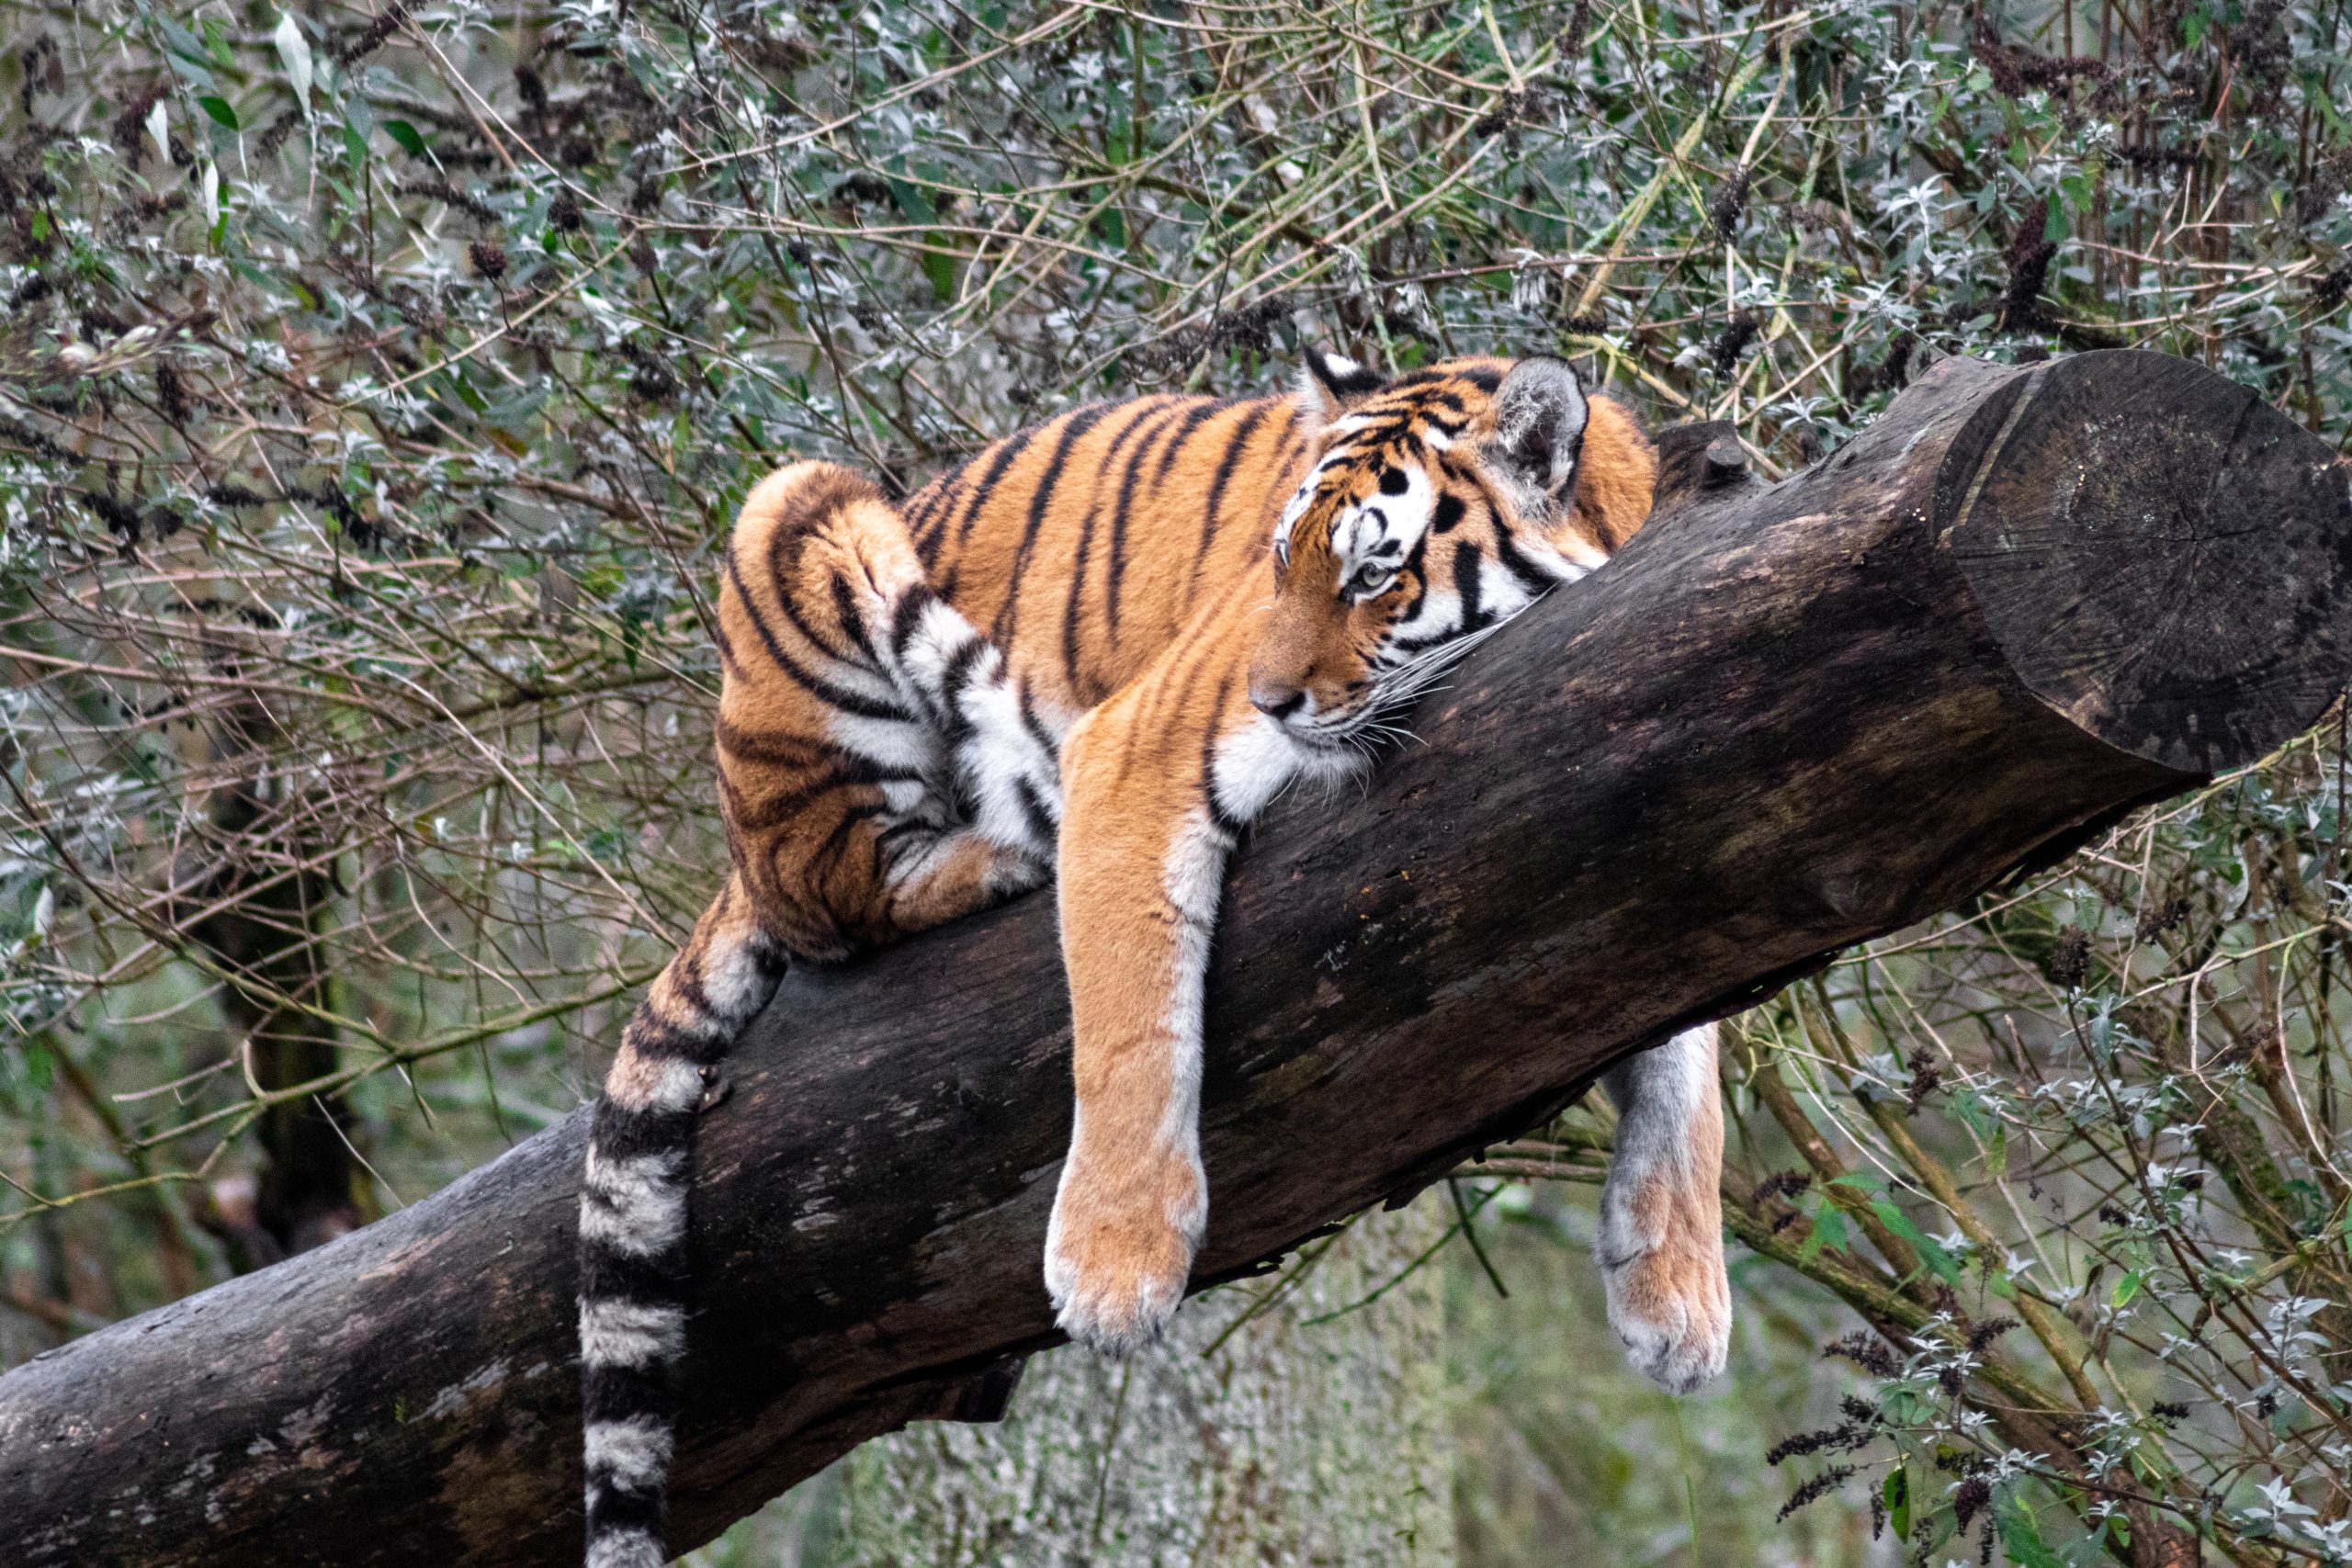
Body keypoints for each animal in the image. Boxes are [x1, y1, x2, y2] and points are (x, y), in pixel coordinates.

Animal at [578, 350, 1740, 1561]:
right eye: (1279, 561)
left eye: (1373, 575)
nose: (1268, 699)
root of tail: (733, 850)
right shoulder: (1132, 755)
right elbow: (1132, 1030)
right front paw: (1113, 1271)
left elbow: (1689, 1063)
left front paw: (1679, 1295)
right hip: (801, 513)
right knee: (834, 893)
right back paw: (1001, 853)